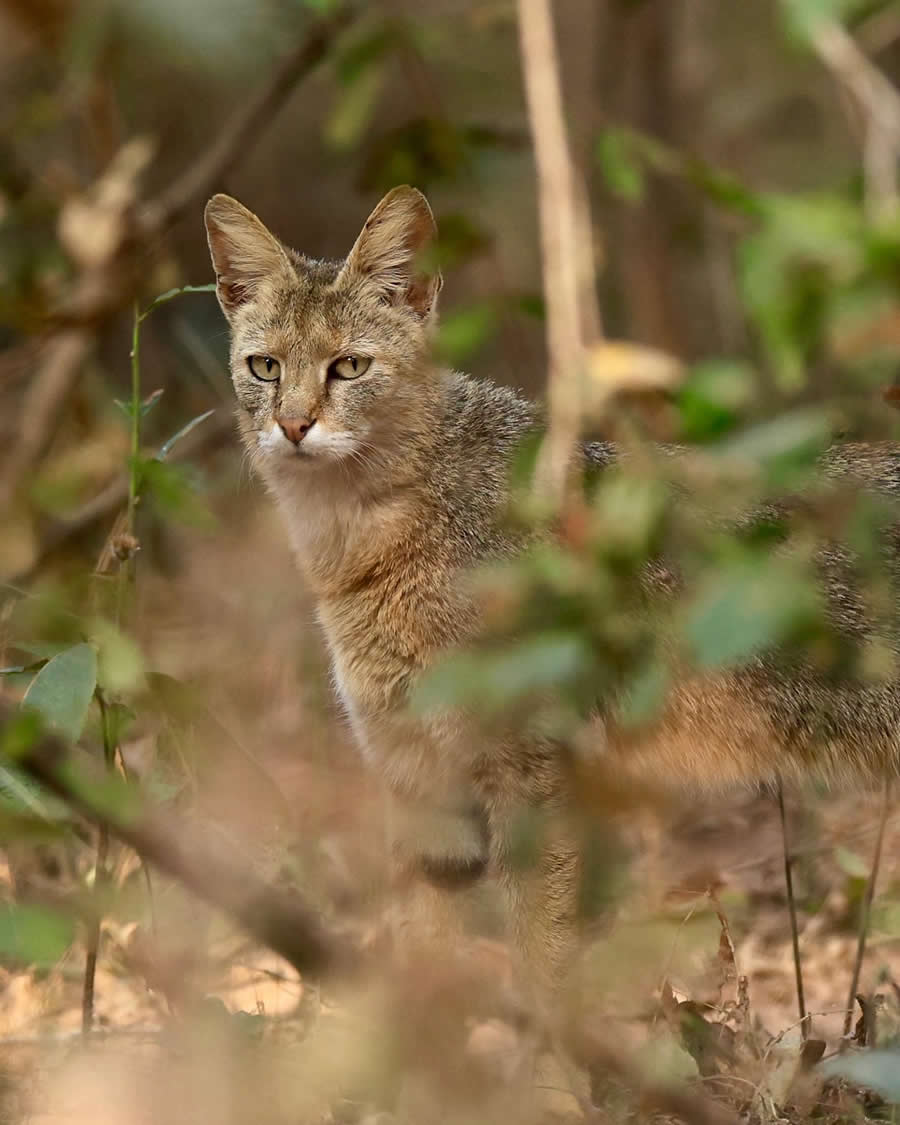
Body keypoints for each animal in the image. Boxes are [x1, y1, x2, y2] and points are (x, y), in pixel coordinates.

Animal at [203, 189, 900, 1008]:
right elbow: (423, 971)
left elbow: (544, 966)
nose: (293, 426)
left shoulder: (533, 779)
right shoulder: (419, 783)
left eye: (349, 366)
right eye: (266, 367)